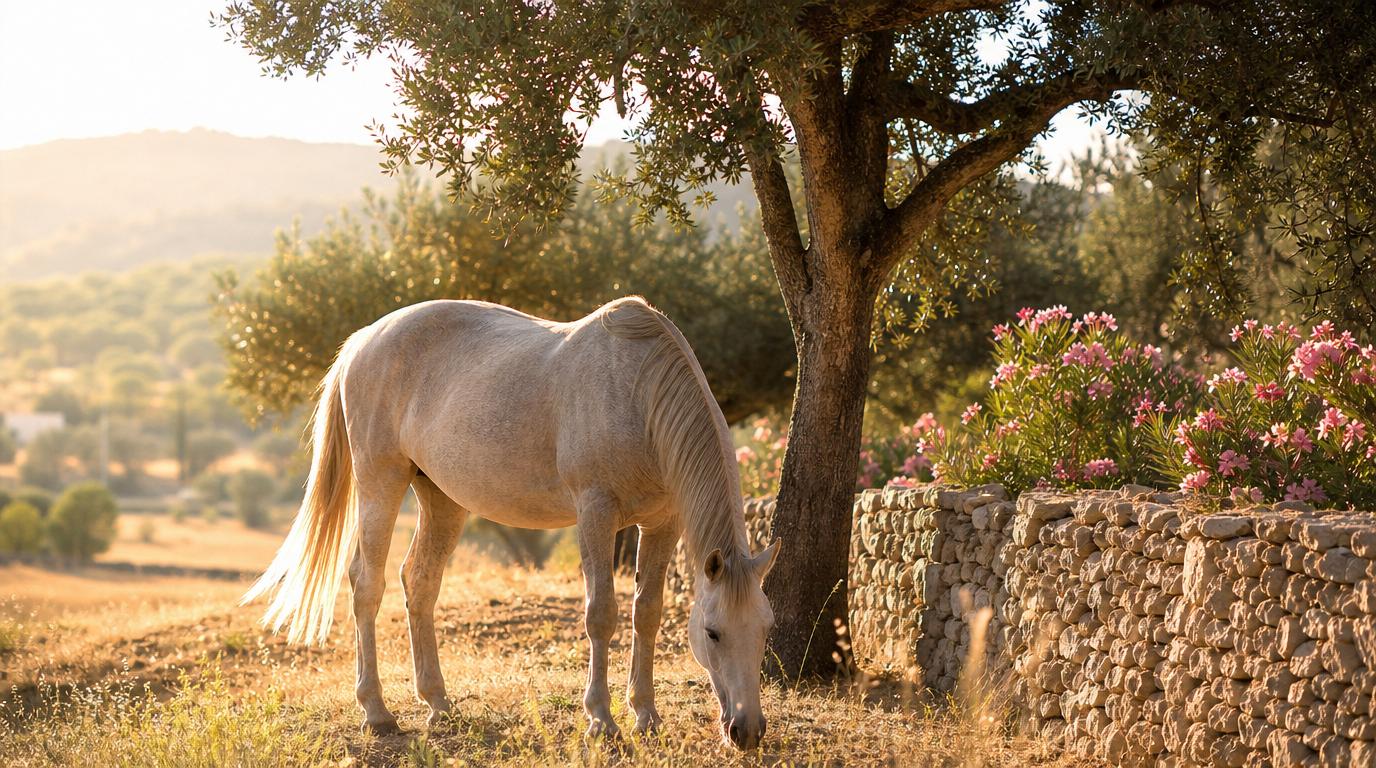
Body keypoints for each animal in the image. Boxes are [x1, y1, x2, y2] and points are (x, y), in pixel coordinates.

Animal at [242, 296, 780, 749]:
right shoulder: (596, 514)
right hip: (381, 482)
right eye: (712, 632)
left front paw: (646, 716)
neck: (638, 392)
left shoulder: (663, 522)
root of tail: (363, 339)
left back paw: (438, 703)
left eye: (766, 629)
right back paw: (377, 713)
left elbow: (646, 612)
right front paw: (601, 720)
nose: (747, 730)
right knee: (366, 584)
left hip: (441, 499)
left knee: (420, 582)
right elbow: (601, 614)